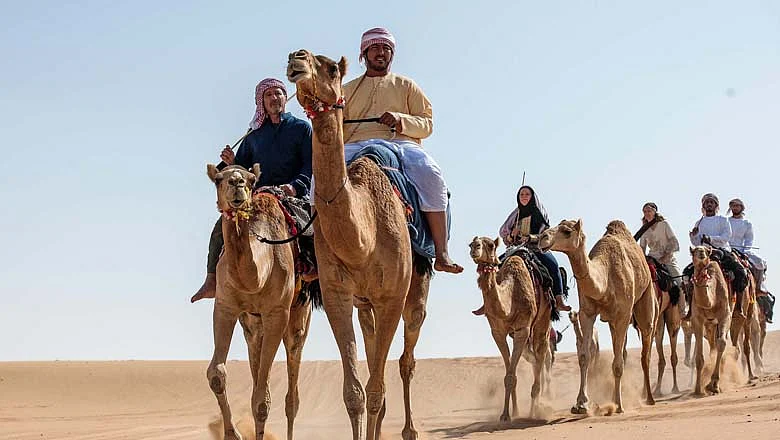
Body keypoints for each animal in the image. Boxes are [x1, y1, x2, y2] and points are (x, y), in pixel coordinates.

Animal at [205, 164, 317, 440]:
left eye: (251, 179)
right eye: (219, 179)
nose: (236, 183)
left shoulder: (277, 313)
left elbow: (262, 400)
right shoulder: (225, 306)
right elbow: (217, 374)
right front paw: (232, 434)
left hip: (298, 315)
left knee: (291, 395)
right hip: (252, 325)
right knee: (254, 354)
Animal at [287, 50, 432, 440]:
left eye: (331, 69)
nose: (296, 59)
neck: (363, 238)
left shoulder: (392, 296)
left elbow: (377, 389)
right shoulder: (337, 295)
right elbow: (355, 392)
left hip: (416, 285)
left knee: (406, 358)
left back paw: (410, 430)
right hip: (365, 304)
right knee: (373, 351)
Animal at [469, 237, 552, 420]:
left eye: (490, 245)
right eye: (471, 243)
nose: (474, 249)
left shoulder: (522, 330)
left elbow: (512, 374)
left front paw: (511, 414)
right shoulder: (498, 332)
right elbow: (509, 376)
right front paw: (510, 413)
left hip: (543, 320)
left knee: (541, 354)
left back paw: (535, 410)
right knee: (534, 358)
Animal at [537, 219, 657, 414]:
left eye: (567, 231)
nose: (542, 237)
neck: (605, 281)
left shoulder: (623, 314)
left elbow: (617, 364)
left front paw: (618, 405)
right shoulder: (587, 313)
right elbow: (584, 356)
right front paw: (581, 404)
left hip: (645, 301)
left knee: (644, 353)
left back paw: (649, 398)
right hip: (613, 322)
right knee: (621, 351)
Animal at [688, 246, 732, 396]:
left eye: (707, 251)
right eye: (693, 251)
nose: (701, 252)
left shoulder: (725, 314)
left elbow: (722, 343)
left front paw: (714, 384)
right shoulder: (697, 319)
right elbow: (699, 357)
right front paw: (697, 389)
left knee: (719, 344)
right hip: (709, 325)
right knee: (712, 346)